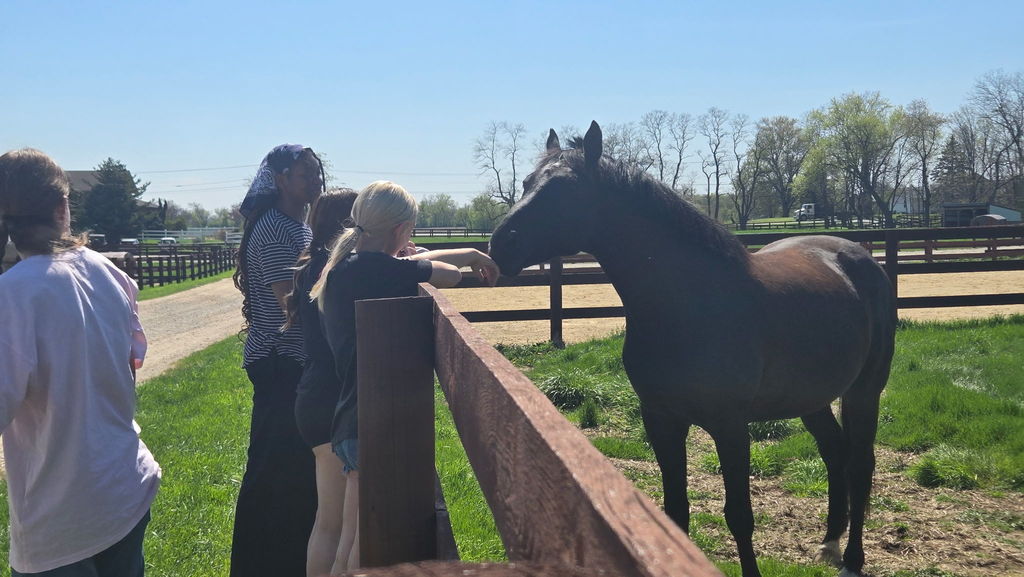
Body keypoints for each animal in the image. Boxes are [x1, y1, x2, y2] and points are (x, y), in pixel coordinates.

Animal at [488, 122, 896, 577]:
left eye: (566, 188)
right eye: (527, 183)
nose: (500, 245)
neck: (690, 302)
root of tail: (857, 255)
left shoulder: (730, 426)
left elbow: (739, 515)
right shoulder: (662, 420)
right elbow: (675, 512)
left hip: (864, 391)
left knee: (860, 464)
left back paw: (852, 560)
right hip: (812, 398)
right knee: (833, 451)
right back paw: (829, 542)